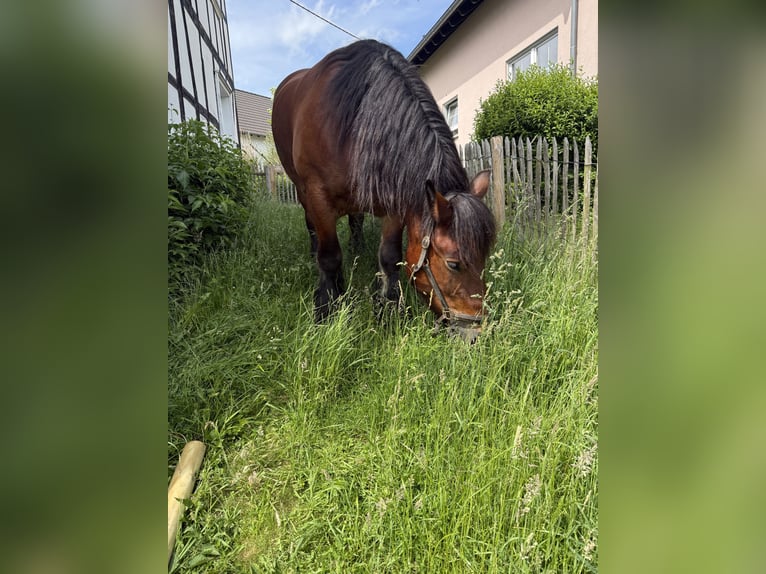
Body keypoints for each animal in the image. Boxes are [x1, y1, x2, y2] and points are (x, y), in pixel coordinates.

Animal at [272, 40, 496, 339]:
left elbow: (389, 257)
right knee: (313, 229)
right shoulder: (318, 196)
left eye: (485, 258)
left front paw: (389, 308)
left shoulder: (396, 203)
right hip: (302, 191)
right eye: (453, 264)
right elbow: (329, 257)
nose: (476, 332)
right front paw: (327, 307)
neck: (354, 124)